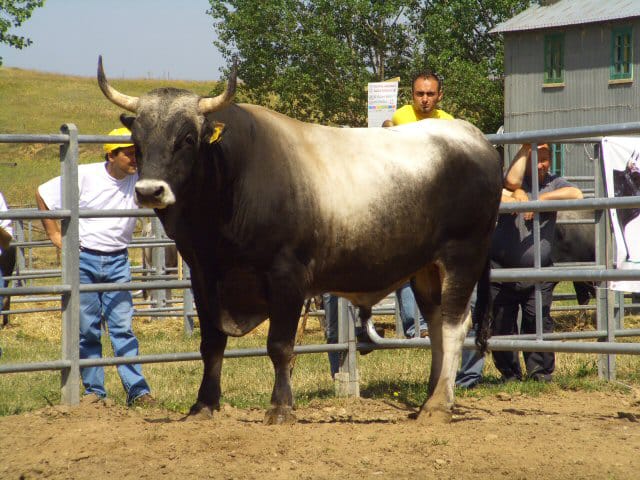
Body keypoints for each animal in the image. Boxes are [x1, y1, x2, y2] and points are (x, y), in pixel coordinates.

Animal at [97, 57, 502, 424]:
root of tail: (474, 138)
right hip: (425, 268)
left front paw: (280, 407)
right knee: (435, 325)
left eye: (186, 138)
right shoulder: (203, 275)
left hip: (463, 256)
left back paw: (439, 405)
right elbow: (211, 343)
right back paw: (430, 399)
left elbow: (280, 345)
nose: (150, 191)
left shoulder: (287, 275)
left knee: (453, 325)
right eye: (137, 141)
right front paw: (203, 405)